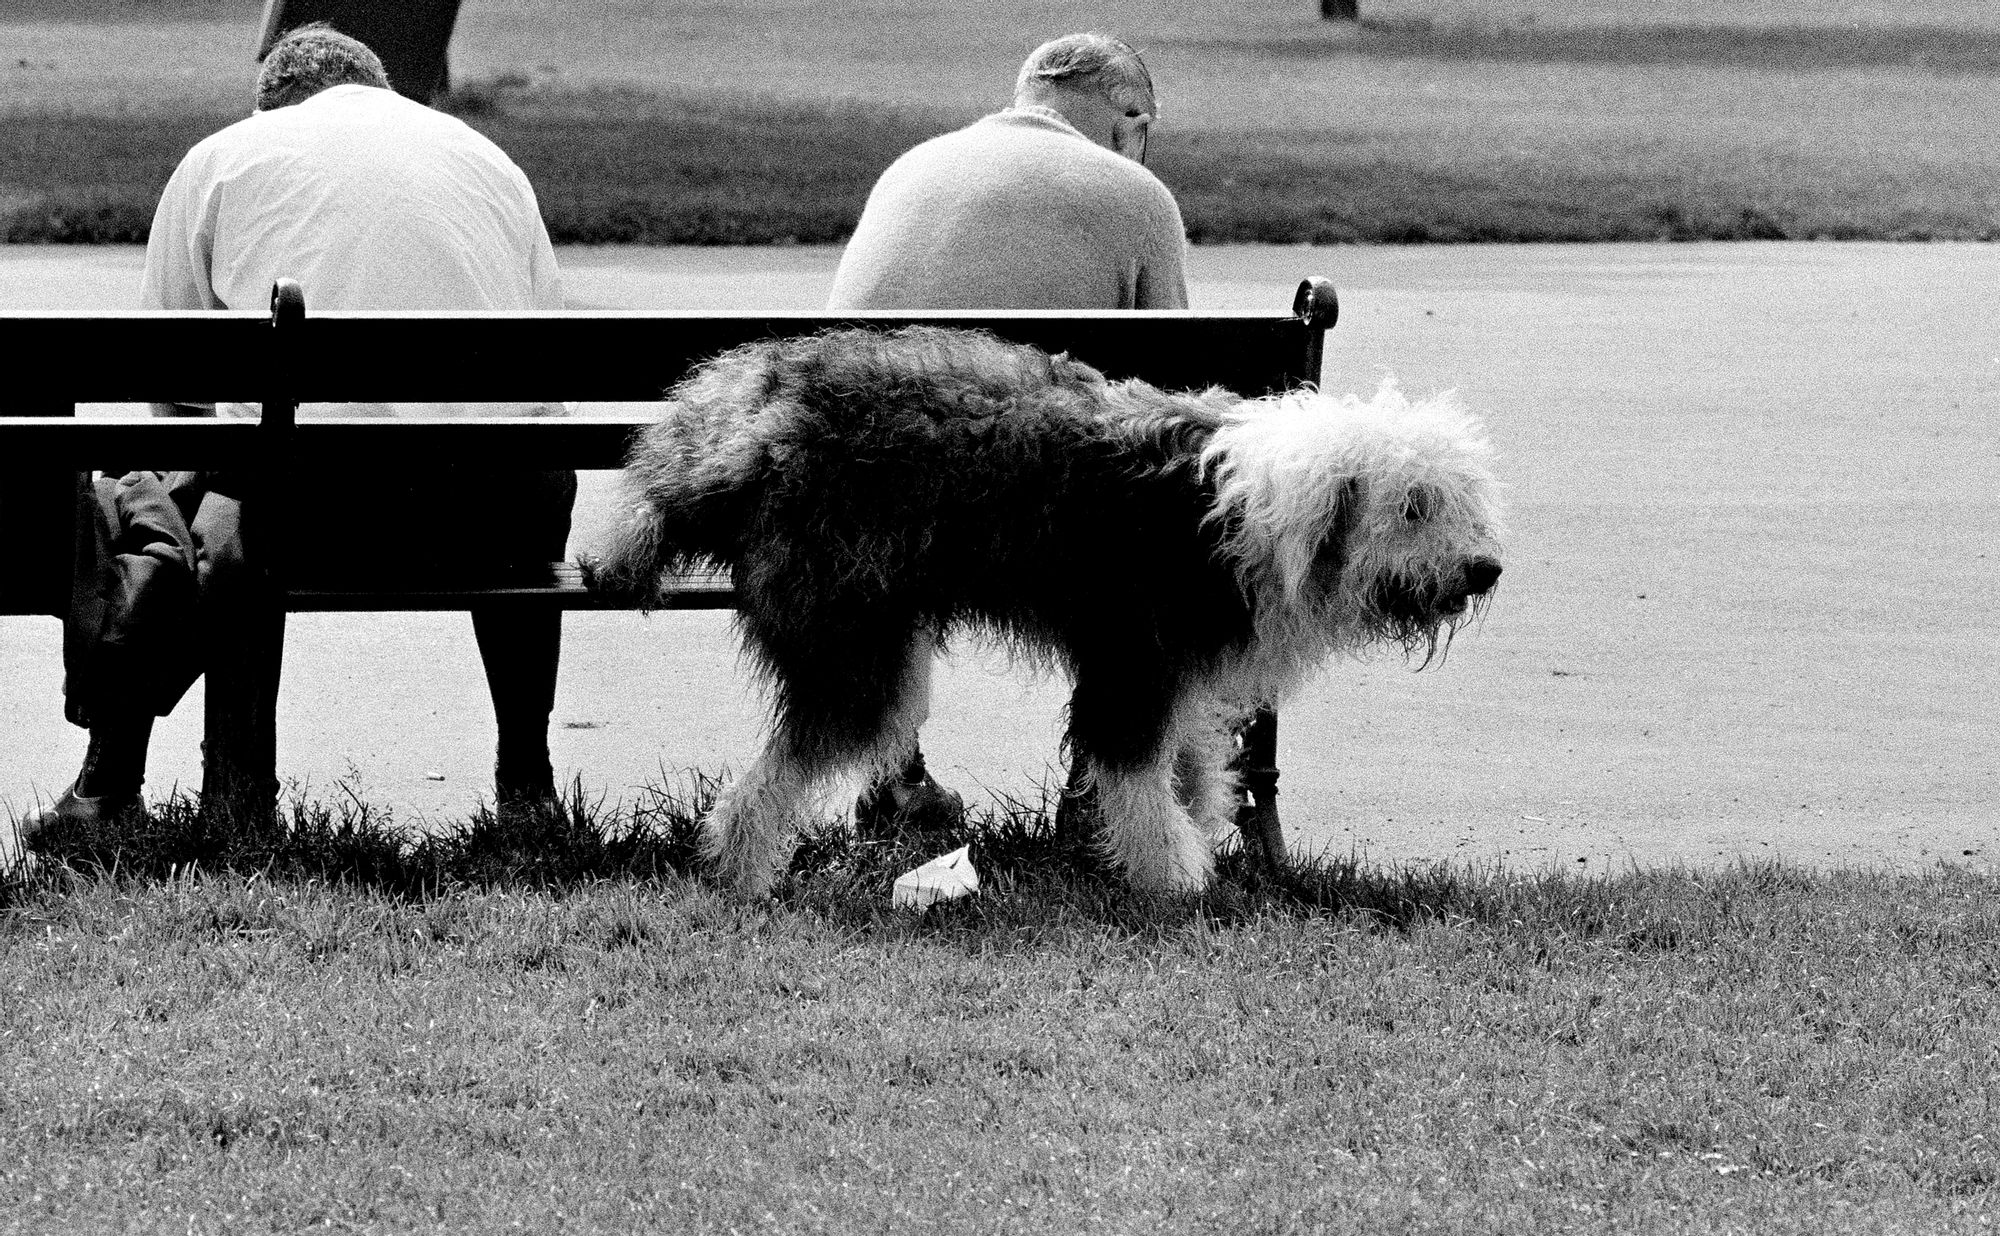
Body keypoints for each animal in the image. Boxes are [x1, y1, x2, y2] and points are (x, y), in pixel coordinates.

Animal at [588, 322, 1504, 892]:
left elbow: (1193, 766)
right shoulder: (1134, 661)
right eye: (1414, 505)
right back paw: (742, 871)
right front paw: (1174, 876)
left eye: (1460, 500)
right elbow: (1134, 776)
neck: (1266, 509)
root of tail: (752, 426)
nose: (1486, 569)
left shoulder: (1182, 671)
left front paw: (1197, 833)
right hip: (854, 648)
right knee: (774, 778)